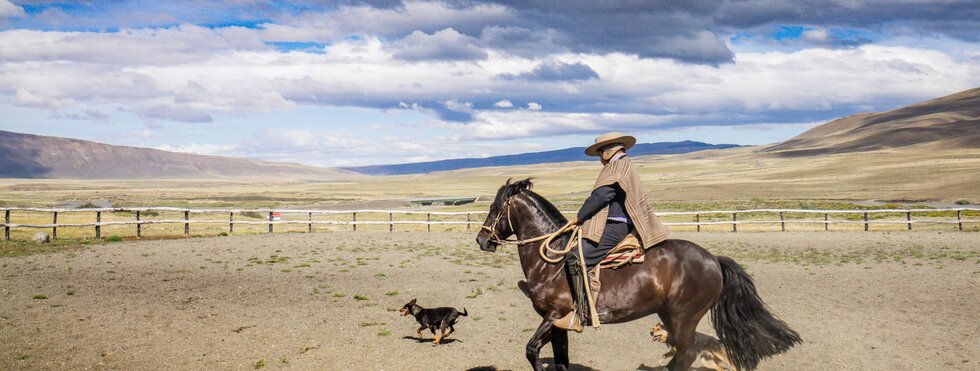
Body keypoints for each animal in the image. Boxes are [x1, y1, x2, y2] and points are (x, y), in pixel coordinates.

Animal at [476, 179, 804, 370]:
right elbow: (561, 359)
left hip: (685, 317)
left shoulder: (555, 314)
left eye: (494, 208)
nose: (482, 239)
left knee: (685, 354)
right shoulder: (559, 322)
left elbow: (532, 351)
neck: (553, 257)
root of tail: (713, 259)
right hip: (670, 315)